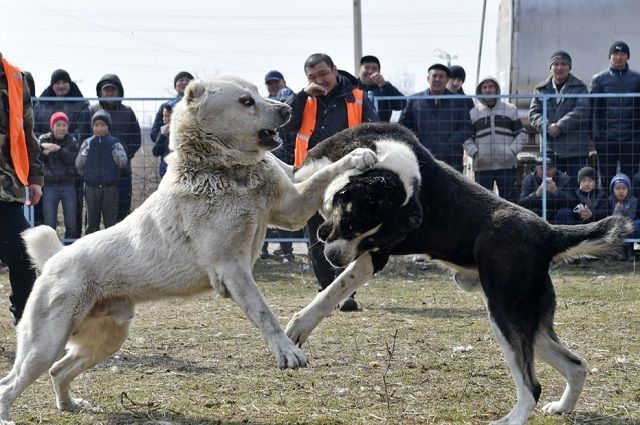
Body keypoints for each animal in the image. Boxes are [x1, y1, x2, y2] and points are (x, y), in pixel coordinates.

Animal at [0, 76, 376, 424]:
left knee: (58, 371)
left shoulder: (292, 209)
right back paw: (9, 414)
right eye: (246, 101)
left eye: (259, 93)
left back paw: (70, 405)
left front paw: (357, 155)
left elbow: (322, 175)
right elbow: (264, 312)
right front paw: (286, 352)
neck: (225, 170)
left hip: (106, 339)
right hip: (45, 343)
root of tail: (54, 259)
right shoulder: (232, 267)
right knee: (11, 382)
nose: (285, 109)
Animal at [286, 121, 636, 424]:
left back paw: (510, 420)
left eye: (365, 234)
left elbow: (333, 291)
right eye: (349, 222)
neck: (389, 162)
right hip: (529, 321)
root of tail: (547, 231)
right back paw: (563, 407)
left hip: (506, 315)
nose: (335, 257)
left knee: (532, 386)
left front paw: (300, 324)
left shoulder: (373, 256)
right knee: (577, 365)